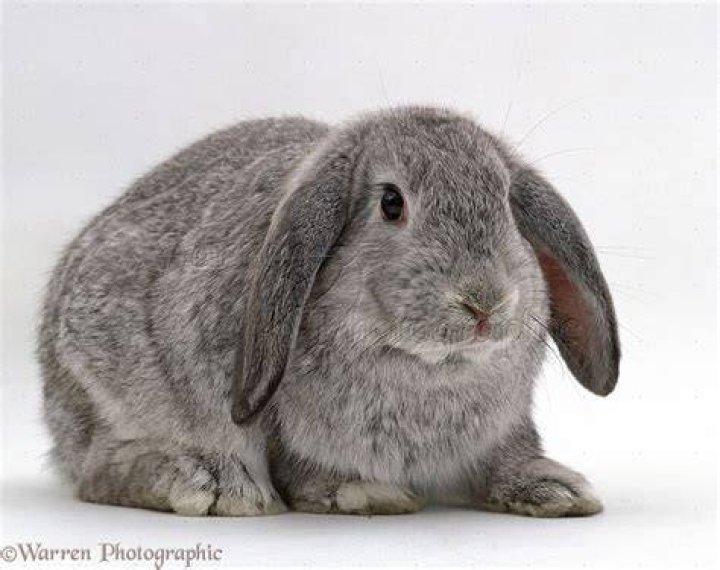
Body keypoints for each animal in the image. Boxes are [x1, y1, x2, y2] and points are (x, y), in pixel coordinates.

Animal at [39, 106, 619, 517]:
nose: (485, 300)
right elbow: (302, 468)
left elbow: (508, 459)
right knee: (99, 471)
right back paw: (211, 484)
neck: (433, 370)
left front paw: (557, 490)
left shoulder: (502, 429)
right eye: (391, 203)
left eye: (505, 202)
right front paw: (361, 491)